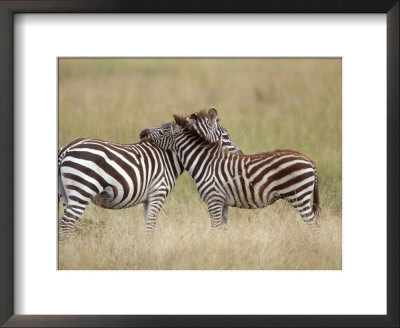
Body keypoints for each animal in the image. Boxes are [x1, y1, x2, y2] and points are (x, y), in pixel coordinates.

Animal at [57, 117, 239, 238]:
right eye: (226, 137)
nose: (240, 154)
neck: (169, 157)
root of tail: (66, 149)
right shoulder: (158, 193)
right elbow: (151, 225)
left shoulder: (148, 198)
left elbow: (147, 224)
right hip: (81, 190)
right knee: (66, 225)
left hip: (66, 194)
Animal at [141, 108, 322, 231]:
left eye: (163, 131)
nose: (143, 132)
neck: (205, 162)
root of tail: (309, 161)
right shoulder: (223, 202)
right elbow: (223, 230)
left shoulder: (213, 199)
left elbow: (215, 229)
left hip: (299, 196)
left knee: (314, 225)